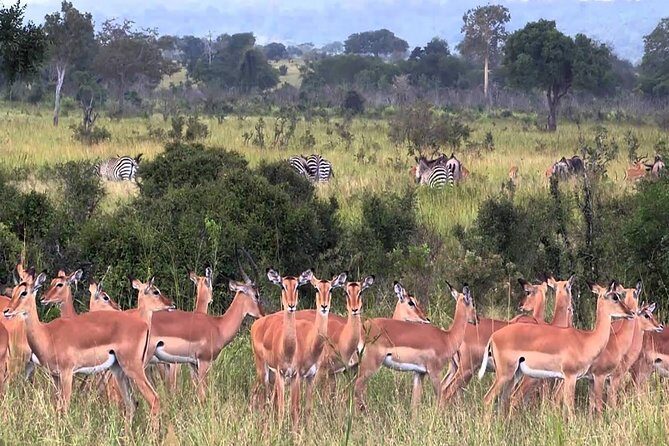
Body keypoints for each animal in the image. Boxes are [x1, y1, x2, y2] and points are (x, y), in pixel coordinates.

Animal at [3, 268, 173, 423]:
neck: (47, 334)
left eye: (24, 293)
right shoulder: (55, 375)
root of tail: (143, 324)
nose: (7, 311)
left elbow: (65, 407)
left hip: (133, 368)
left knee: (153, 399)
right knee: (132, 404)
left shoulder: (67, 373)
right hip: (118, 370)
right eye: (14, 291)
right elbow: (58, 407)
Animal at [149, 269, 264, 399]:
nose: (263, 314)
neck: (218, 326)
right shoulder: (204, 361)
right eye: (256, 295)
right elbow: (202, 394)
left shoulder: (193, 364)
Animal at [250, 268, 312, 426]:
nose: (291, 305)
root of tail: (258, 322)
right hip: (263, 370)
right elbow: (282, 408)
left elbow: (294, 408)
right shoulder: (280, 373)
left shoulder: (295, 375)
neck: (288, 350)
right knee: (260, 394)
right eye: (283, 286)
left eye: (297, 285)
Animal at [354, 283, 477, 411]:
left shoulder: (419, 373)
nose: (476, 319)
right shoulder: (434, 372)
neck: (447, 337)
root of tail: (363, 327)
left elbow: (414, 403)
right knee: (357, 389)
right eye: (472, 303)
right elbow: (441, 398)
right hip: (370, 366)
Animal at [479, 281, 635, 415]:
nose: (631, 313)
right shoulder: (571, 376)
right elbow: (570, 407)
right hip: (504, 375)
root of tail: (494, 337)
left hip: (515, 374)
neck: (586, 340)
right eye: (615, 297)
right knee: (487, 399)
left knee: (503, 400)